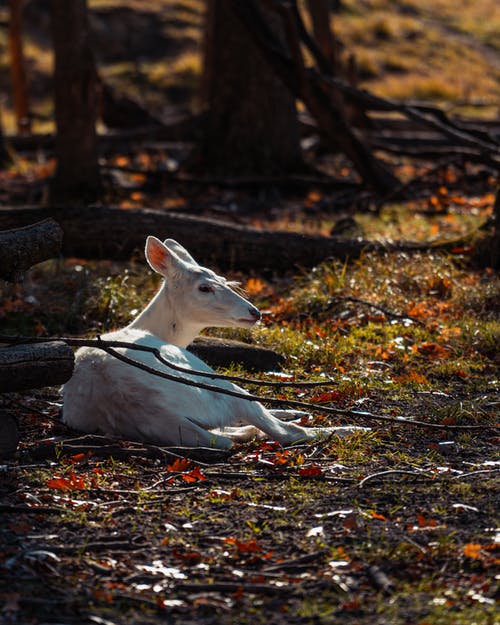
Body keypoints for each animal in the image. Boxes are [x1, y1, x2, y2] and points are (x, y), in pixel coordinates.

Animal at [62, 235, 368, 448]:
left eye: (222, 277)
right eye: (204, 287)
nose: (255, 312)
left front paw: (291, 409)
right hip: (215, 384)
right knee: (283, 432)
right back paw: (355, 429)